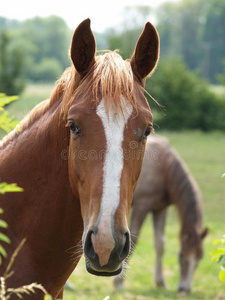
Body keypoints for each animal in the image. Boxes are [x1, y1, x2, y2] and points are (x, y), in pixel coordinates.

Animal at [113, 135, 208, 292]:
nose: (185, 289)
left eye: (200, 256)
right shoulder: (142, 206)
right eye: (182, 255)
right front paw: (118, 282)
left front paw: (160, 282)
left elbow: (160, 244)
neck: (163, 167)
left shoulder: (160, 209)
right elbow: (132, 242)